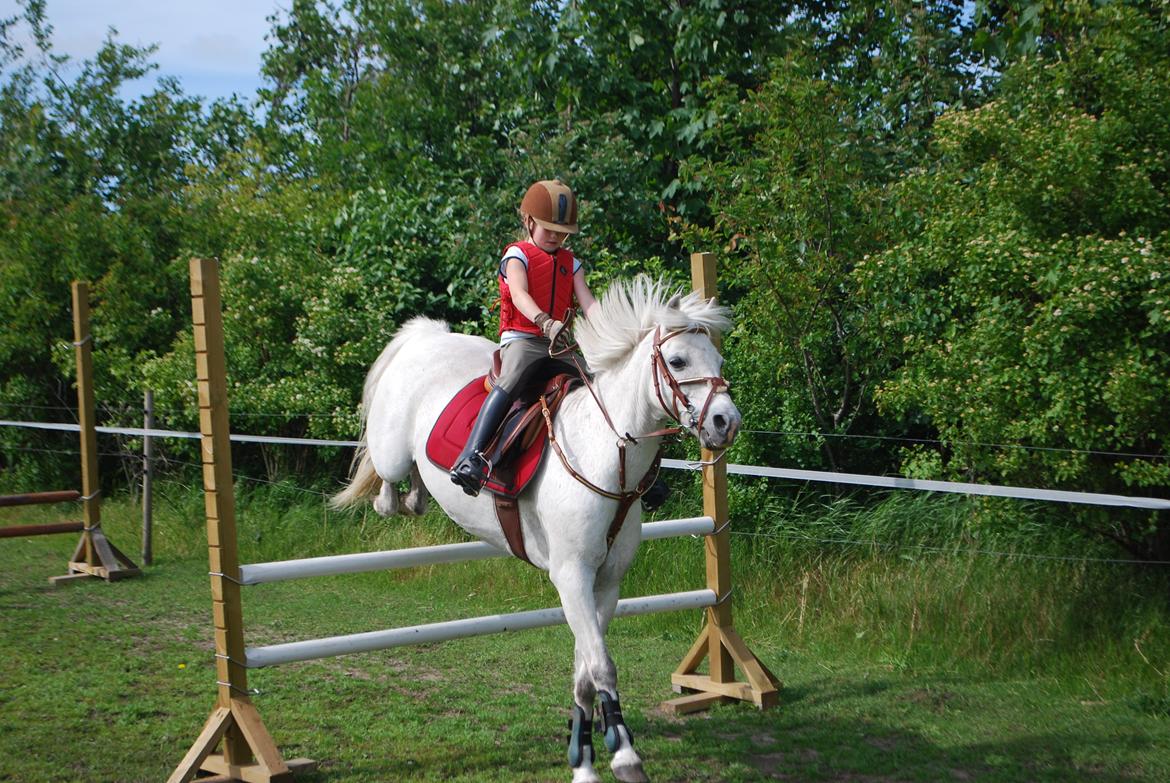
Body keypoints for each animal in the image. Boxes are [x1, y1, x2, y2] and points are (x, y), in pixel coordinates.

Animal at [331, 275, 741, 783]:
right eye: (679, 361)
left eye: (718, 363)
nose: (726, 423)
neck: (606, 456)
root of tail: (426, 338)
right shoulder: (571, 577)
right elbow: (602, 667)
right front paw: (624, 756)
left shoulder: (606, 582)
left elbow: (584, 673)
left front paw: (582, 758)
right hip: (390, 451)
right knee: (386, 488)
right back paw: (416, 491)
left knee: (408, 492)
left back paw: (419, 496)